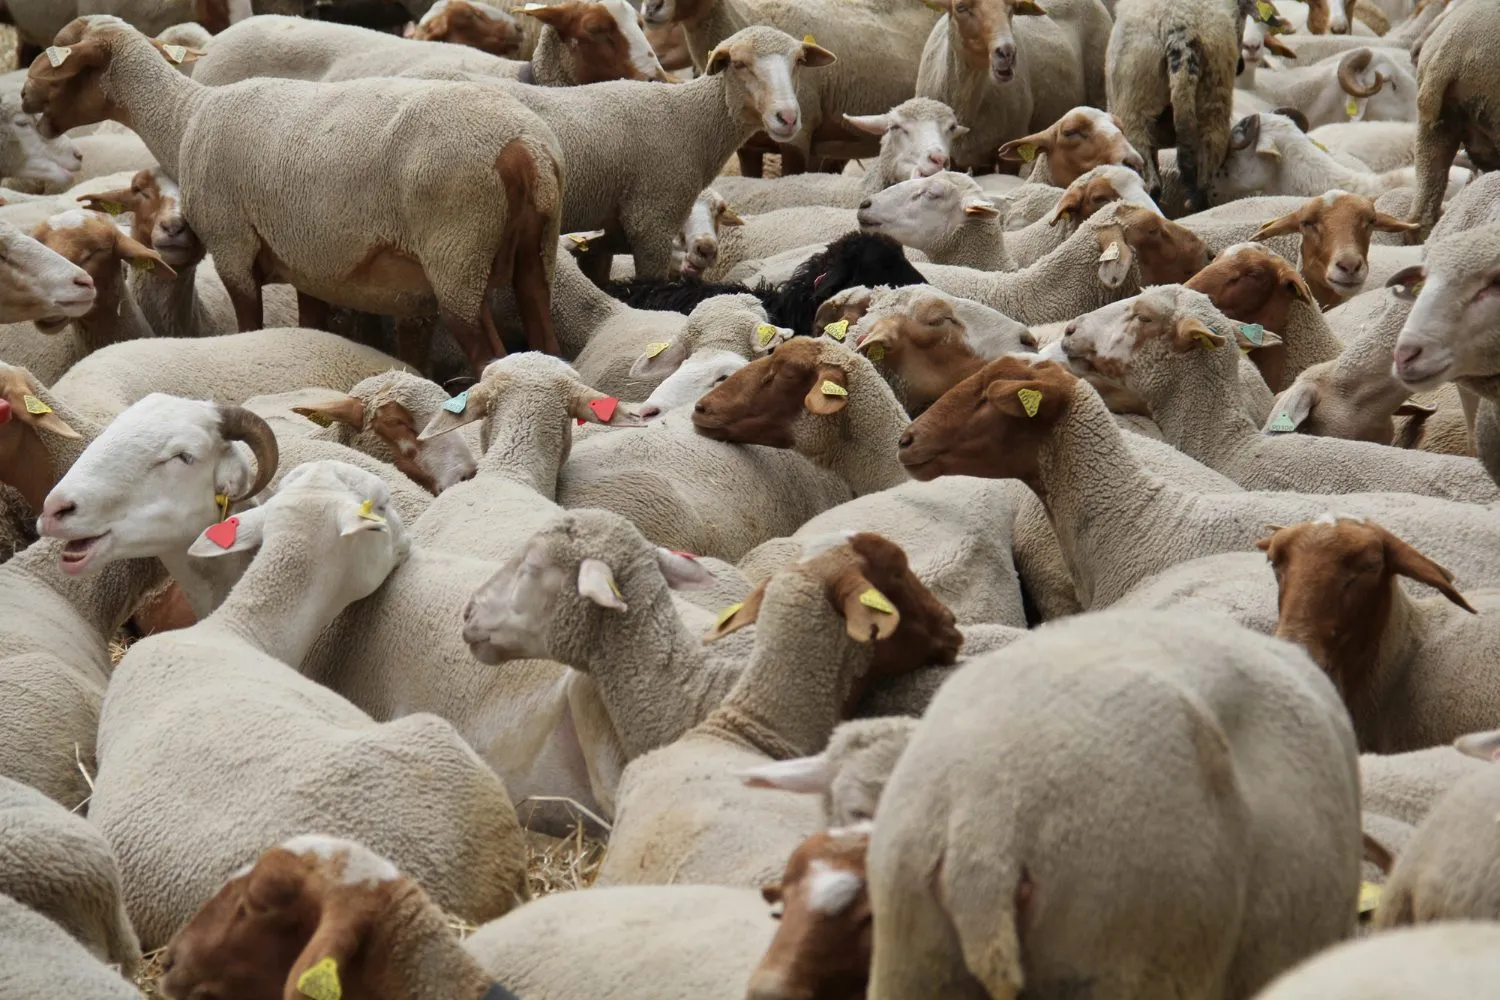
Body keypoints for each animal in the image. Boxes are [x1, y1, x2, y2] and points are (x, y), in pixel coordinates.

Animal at [25, 16, 566, 374]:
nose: (25, 96)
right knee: (547, 344)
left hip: (457, 256)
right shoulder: (308, 261)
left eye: (61, 63)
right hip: (535, 254)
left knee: (491, 356)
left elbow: (250, 327)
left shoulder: (233, 245)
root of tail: (526, 146)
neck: (185, 118)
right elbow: (309, 327)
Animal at [1107, 0, 1242, 213]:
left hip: (1135, 100)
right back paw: (1199, 202)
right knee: (1211, 145)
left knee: (1148, 174)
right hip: (1214, 94)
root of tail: (1181, 31)